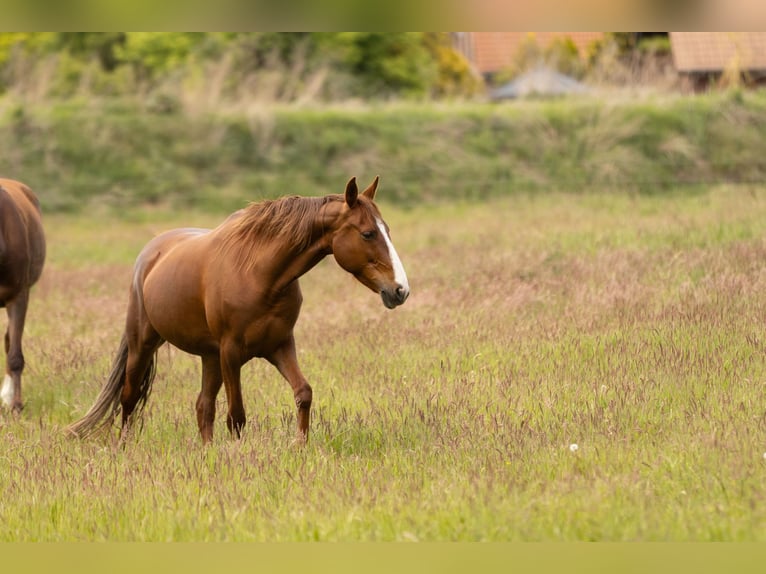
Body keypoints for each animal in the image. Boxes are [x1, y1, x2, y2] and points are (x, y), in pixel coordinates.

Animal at [66, 176, 409, 443]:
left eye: (388, 231)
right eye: (368, 233)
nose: (400, 290)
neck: (261, 275)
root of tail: (151, 253)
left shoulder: (279, 345)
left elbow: (303, 394)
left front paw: (300, 446)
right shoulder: (231, 351)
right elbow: (237, 416)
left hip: (209, 357)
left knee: (203, 406)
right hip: (144, 343)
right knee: (129, 397)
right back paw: (123, 447)